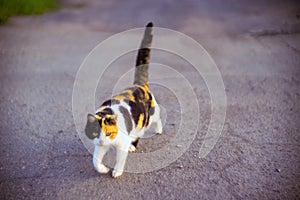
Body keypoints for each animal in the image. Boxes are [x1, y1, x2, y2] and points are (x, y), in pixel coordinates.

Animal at [85, 22, 163, 179]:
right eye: (96, 133)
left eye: (108, 133)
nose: (102, 140)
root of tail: (139, 84)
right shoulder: (100, 145)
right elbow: (95, 161)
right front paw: (102, 169)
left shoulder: (121, 143)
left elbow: (120, 159)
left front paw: (117, 172)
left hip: (150, 115)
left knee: (157, 119)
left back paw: (157, 130)